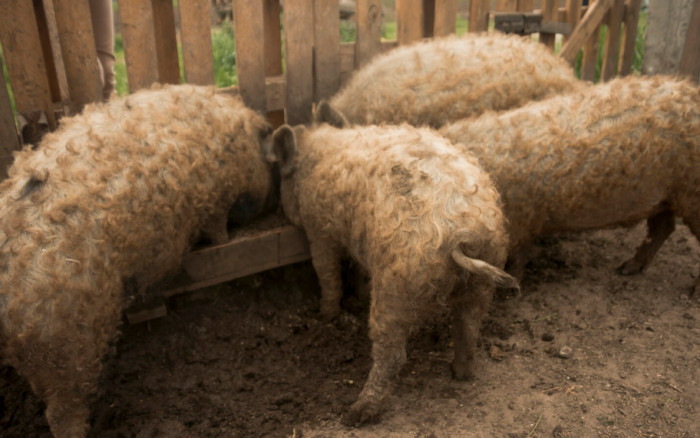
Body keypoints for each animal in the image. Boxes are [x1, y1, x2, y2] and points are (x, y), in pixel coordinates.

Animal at [264, 122, 518, 425]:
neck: (311, 161)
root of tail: (463, 233)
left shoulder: (320, 232)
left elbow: (327, 275)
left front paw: (324, 315)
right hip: (484, 280)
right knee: (468, 328)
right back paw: (460, 374)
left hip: (396, 287)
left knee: (392, 353)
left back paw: (354, 414)